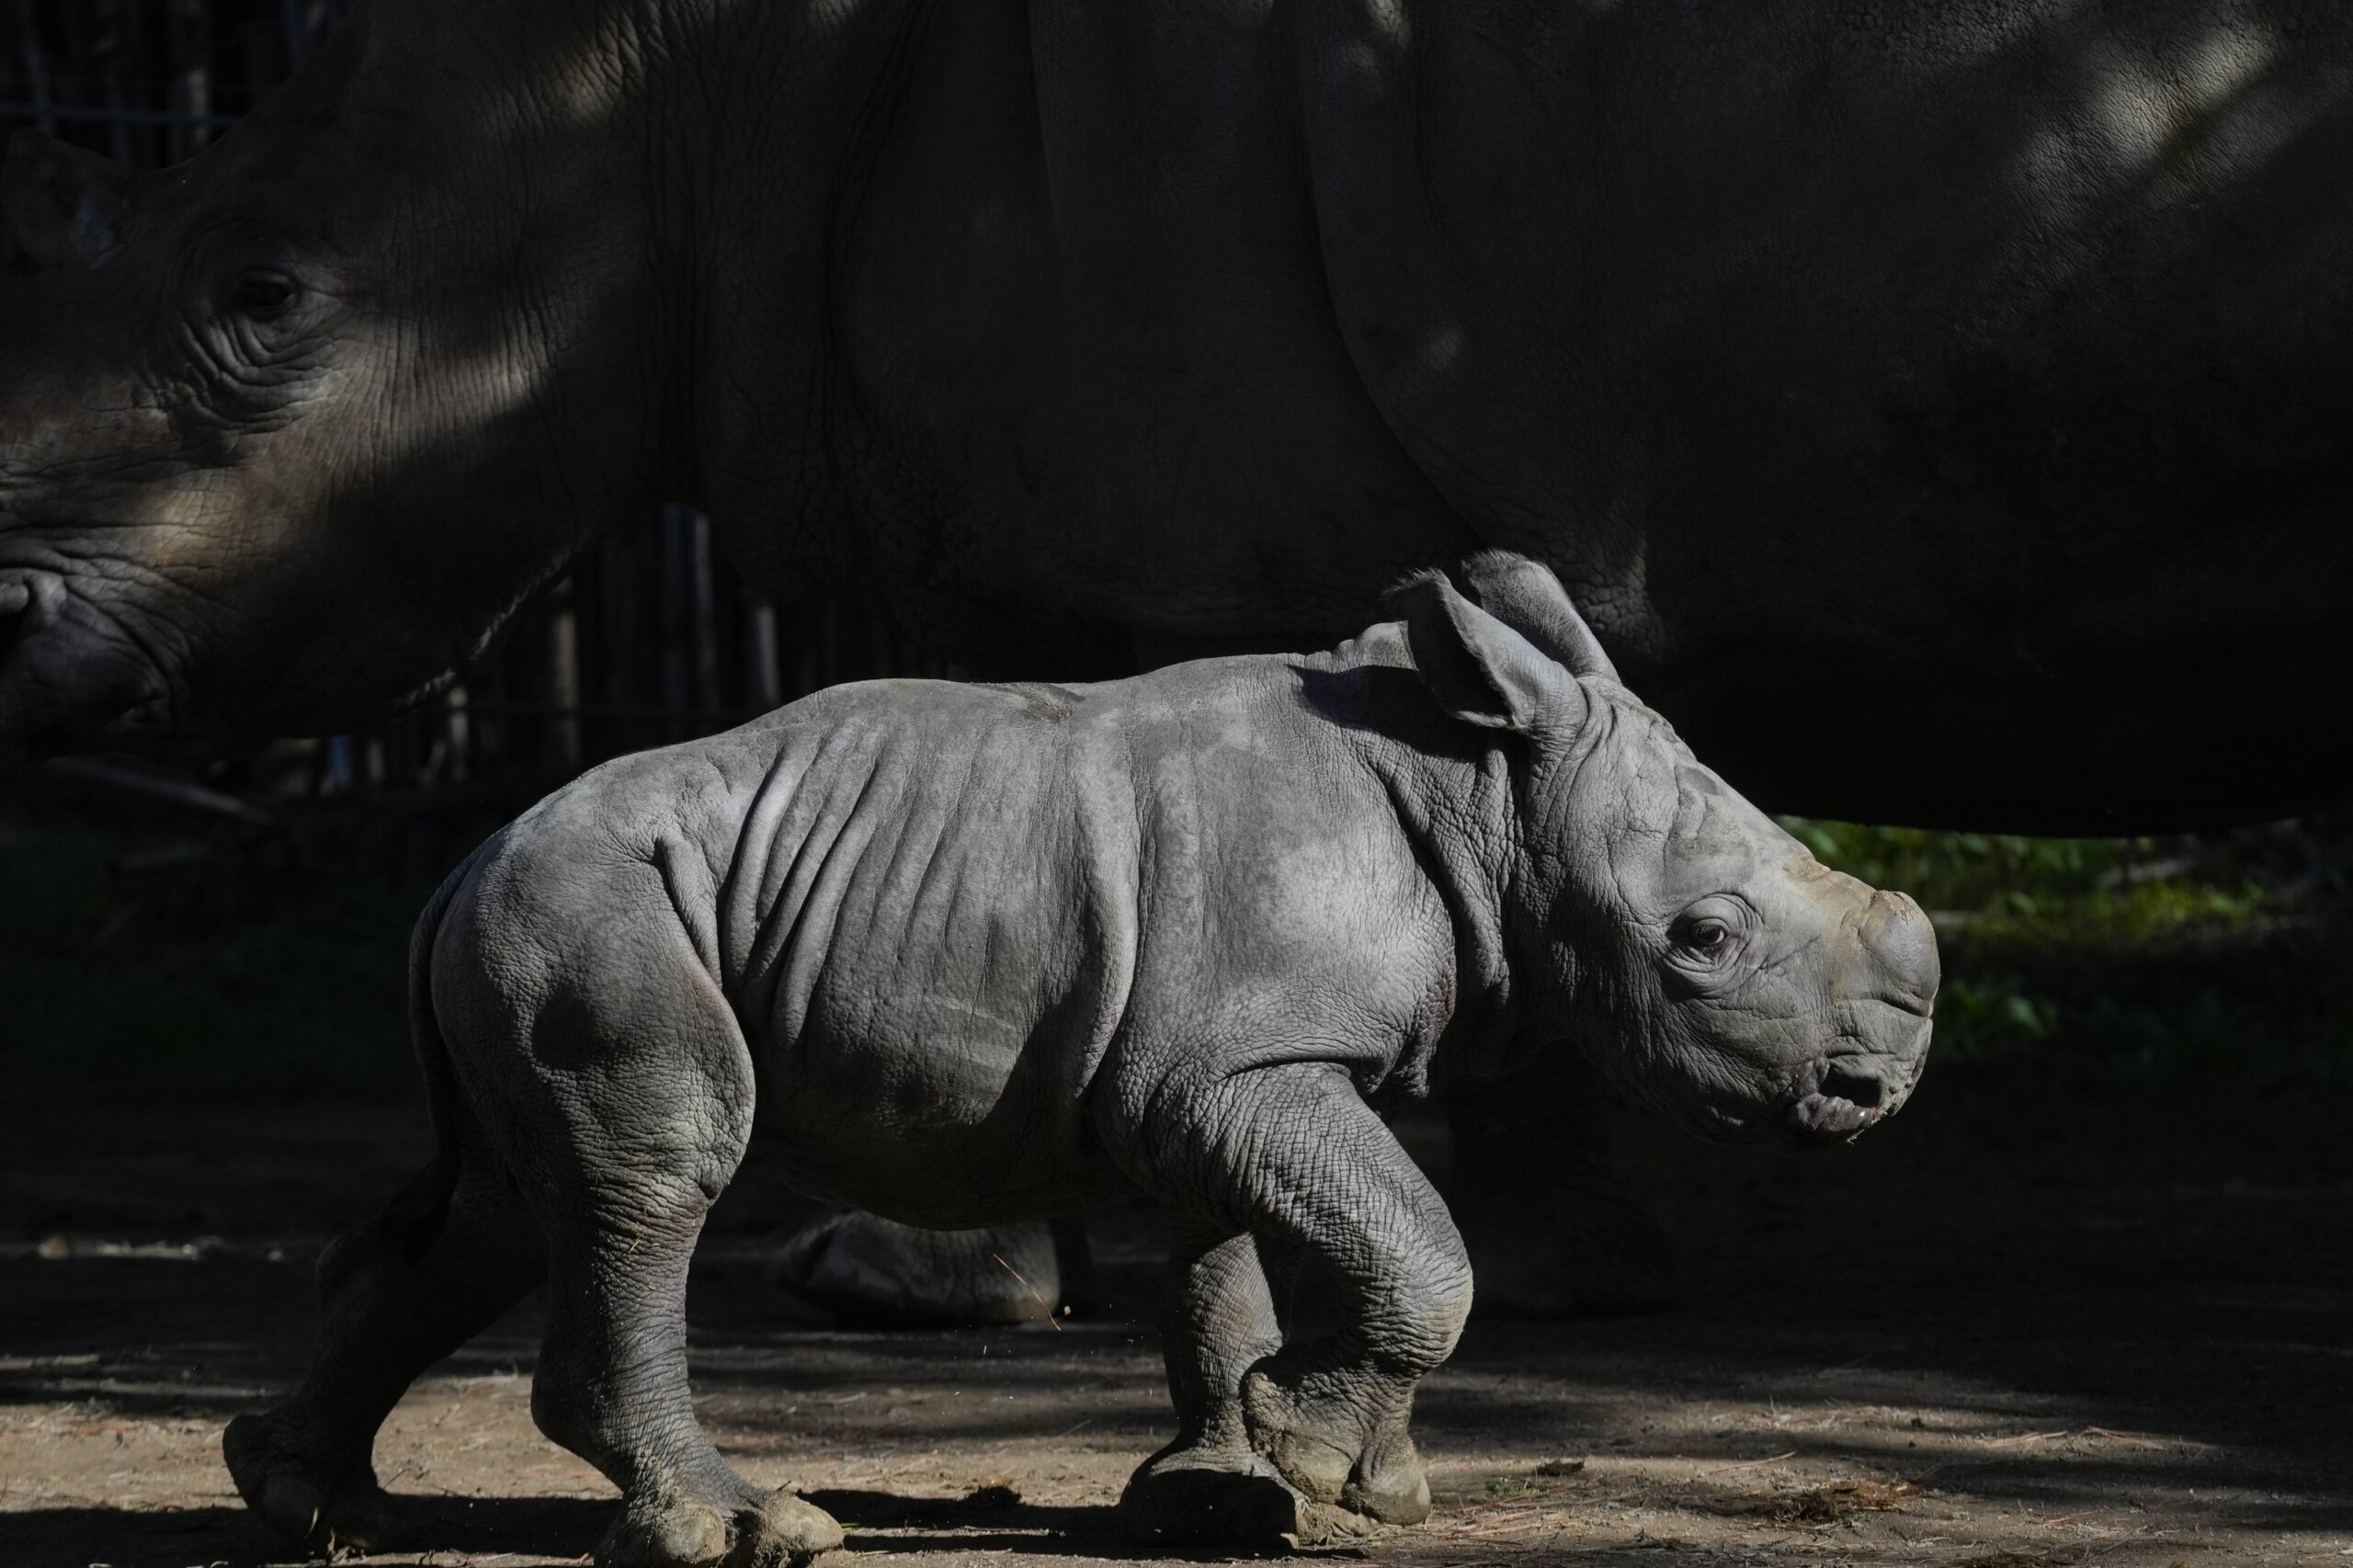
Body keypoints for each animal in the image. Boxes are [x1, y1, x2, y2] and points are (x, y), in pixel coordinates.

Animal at [229, 555, 1938, 1562]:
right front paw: (1319, 1460)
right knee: (651, 1172)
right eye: (1703, 940)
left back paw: (310, 1497)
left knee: (511, 1205)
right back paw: (750, 1528)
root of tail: (460, 862)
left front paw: (1270, 1489)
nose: (1872, 1094)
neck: (1485, 795)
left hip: (544, 918)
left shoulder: (1205, 1063)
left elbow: (1225, 1266)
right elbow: (1416, 1246)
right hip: (593, 911)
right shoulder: (1235, 1065)